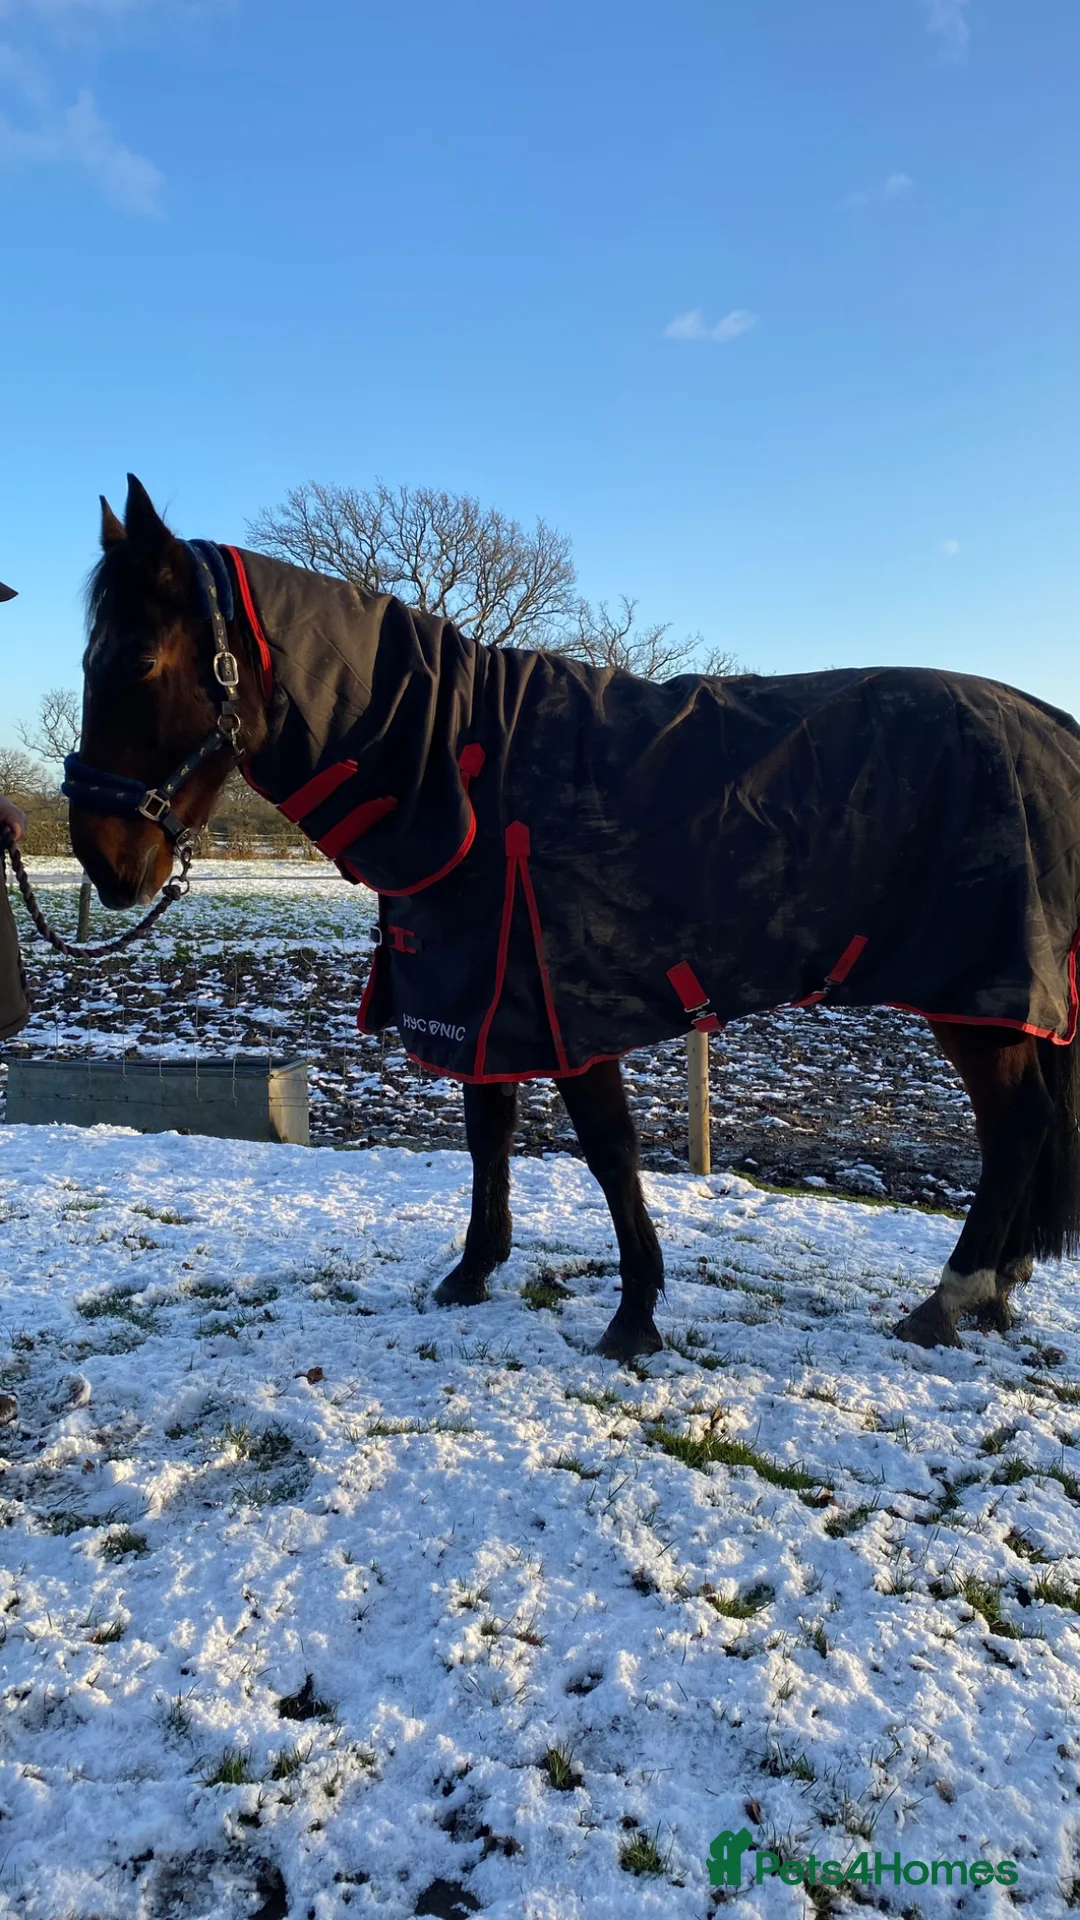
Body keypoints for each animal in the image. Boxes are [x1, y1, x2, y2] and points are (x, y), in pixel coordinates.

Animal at [66, 476, 1080, 1363]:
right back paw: (994, 1293)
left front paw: (634, 1316)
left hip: (981, 996)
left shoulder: (566, 1002)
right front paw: (473, 1273)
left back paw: (948, 1300)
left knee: (1018, 1127)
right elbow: (489, 1128)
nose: (104, 863)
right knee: (1025, 1130)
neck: (464, 767)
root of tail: (1049, 727)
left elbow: (607, 1150)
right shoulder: (479, 995)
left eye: (139, 662)